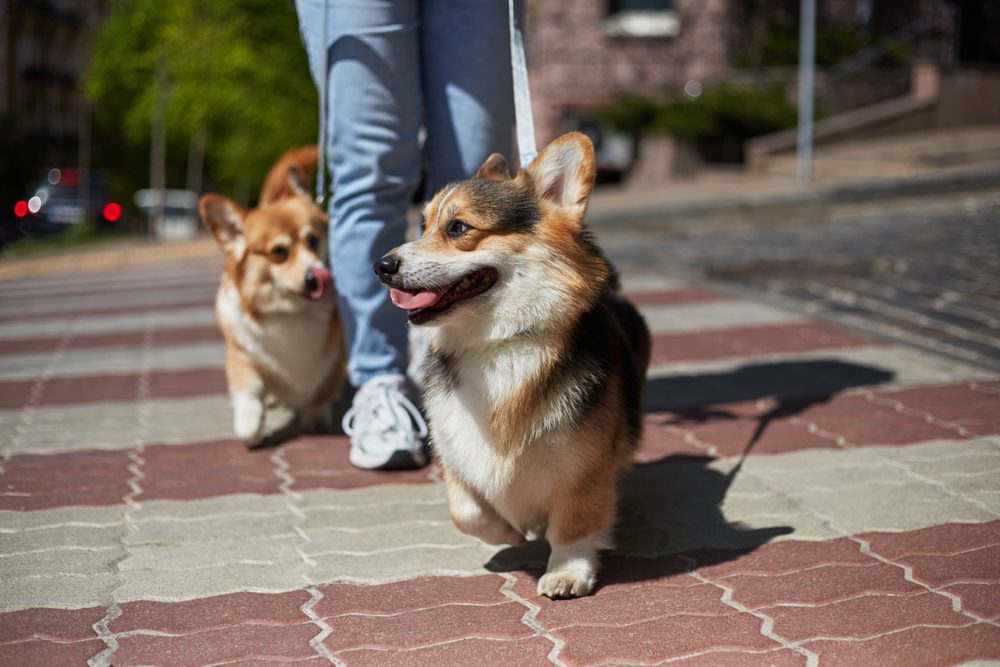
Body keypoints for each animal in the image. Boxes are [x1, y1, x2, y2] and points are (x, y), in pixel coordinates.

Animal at [199, 148, 348, 446]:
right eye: (279, 252)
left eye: (313, 240)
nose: (316, 276)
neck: (290, 310)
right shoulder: (241, 351)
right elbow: (249, 387)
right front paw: (250, 423)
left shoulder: (335, 356)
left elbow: (322, 390)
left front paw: (315, 417)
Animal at [374, 133, 648, 596]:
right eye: (423, 224)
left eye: (458, 227)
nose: (382, 266)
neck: (498, 343)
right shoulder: (456, 449)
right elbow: (467, 511)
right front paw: (508, 532)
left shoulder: (587, 465)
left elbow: (574, 523)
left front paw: (567, 571)